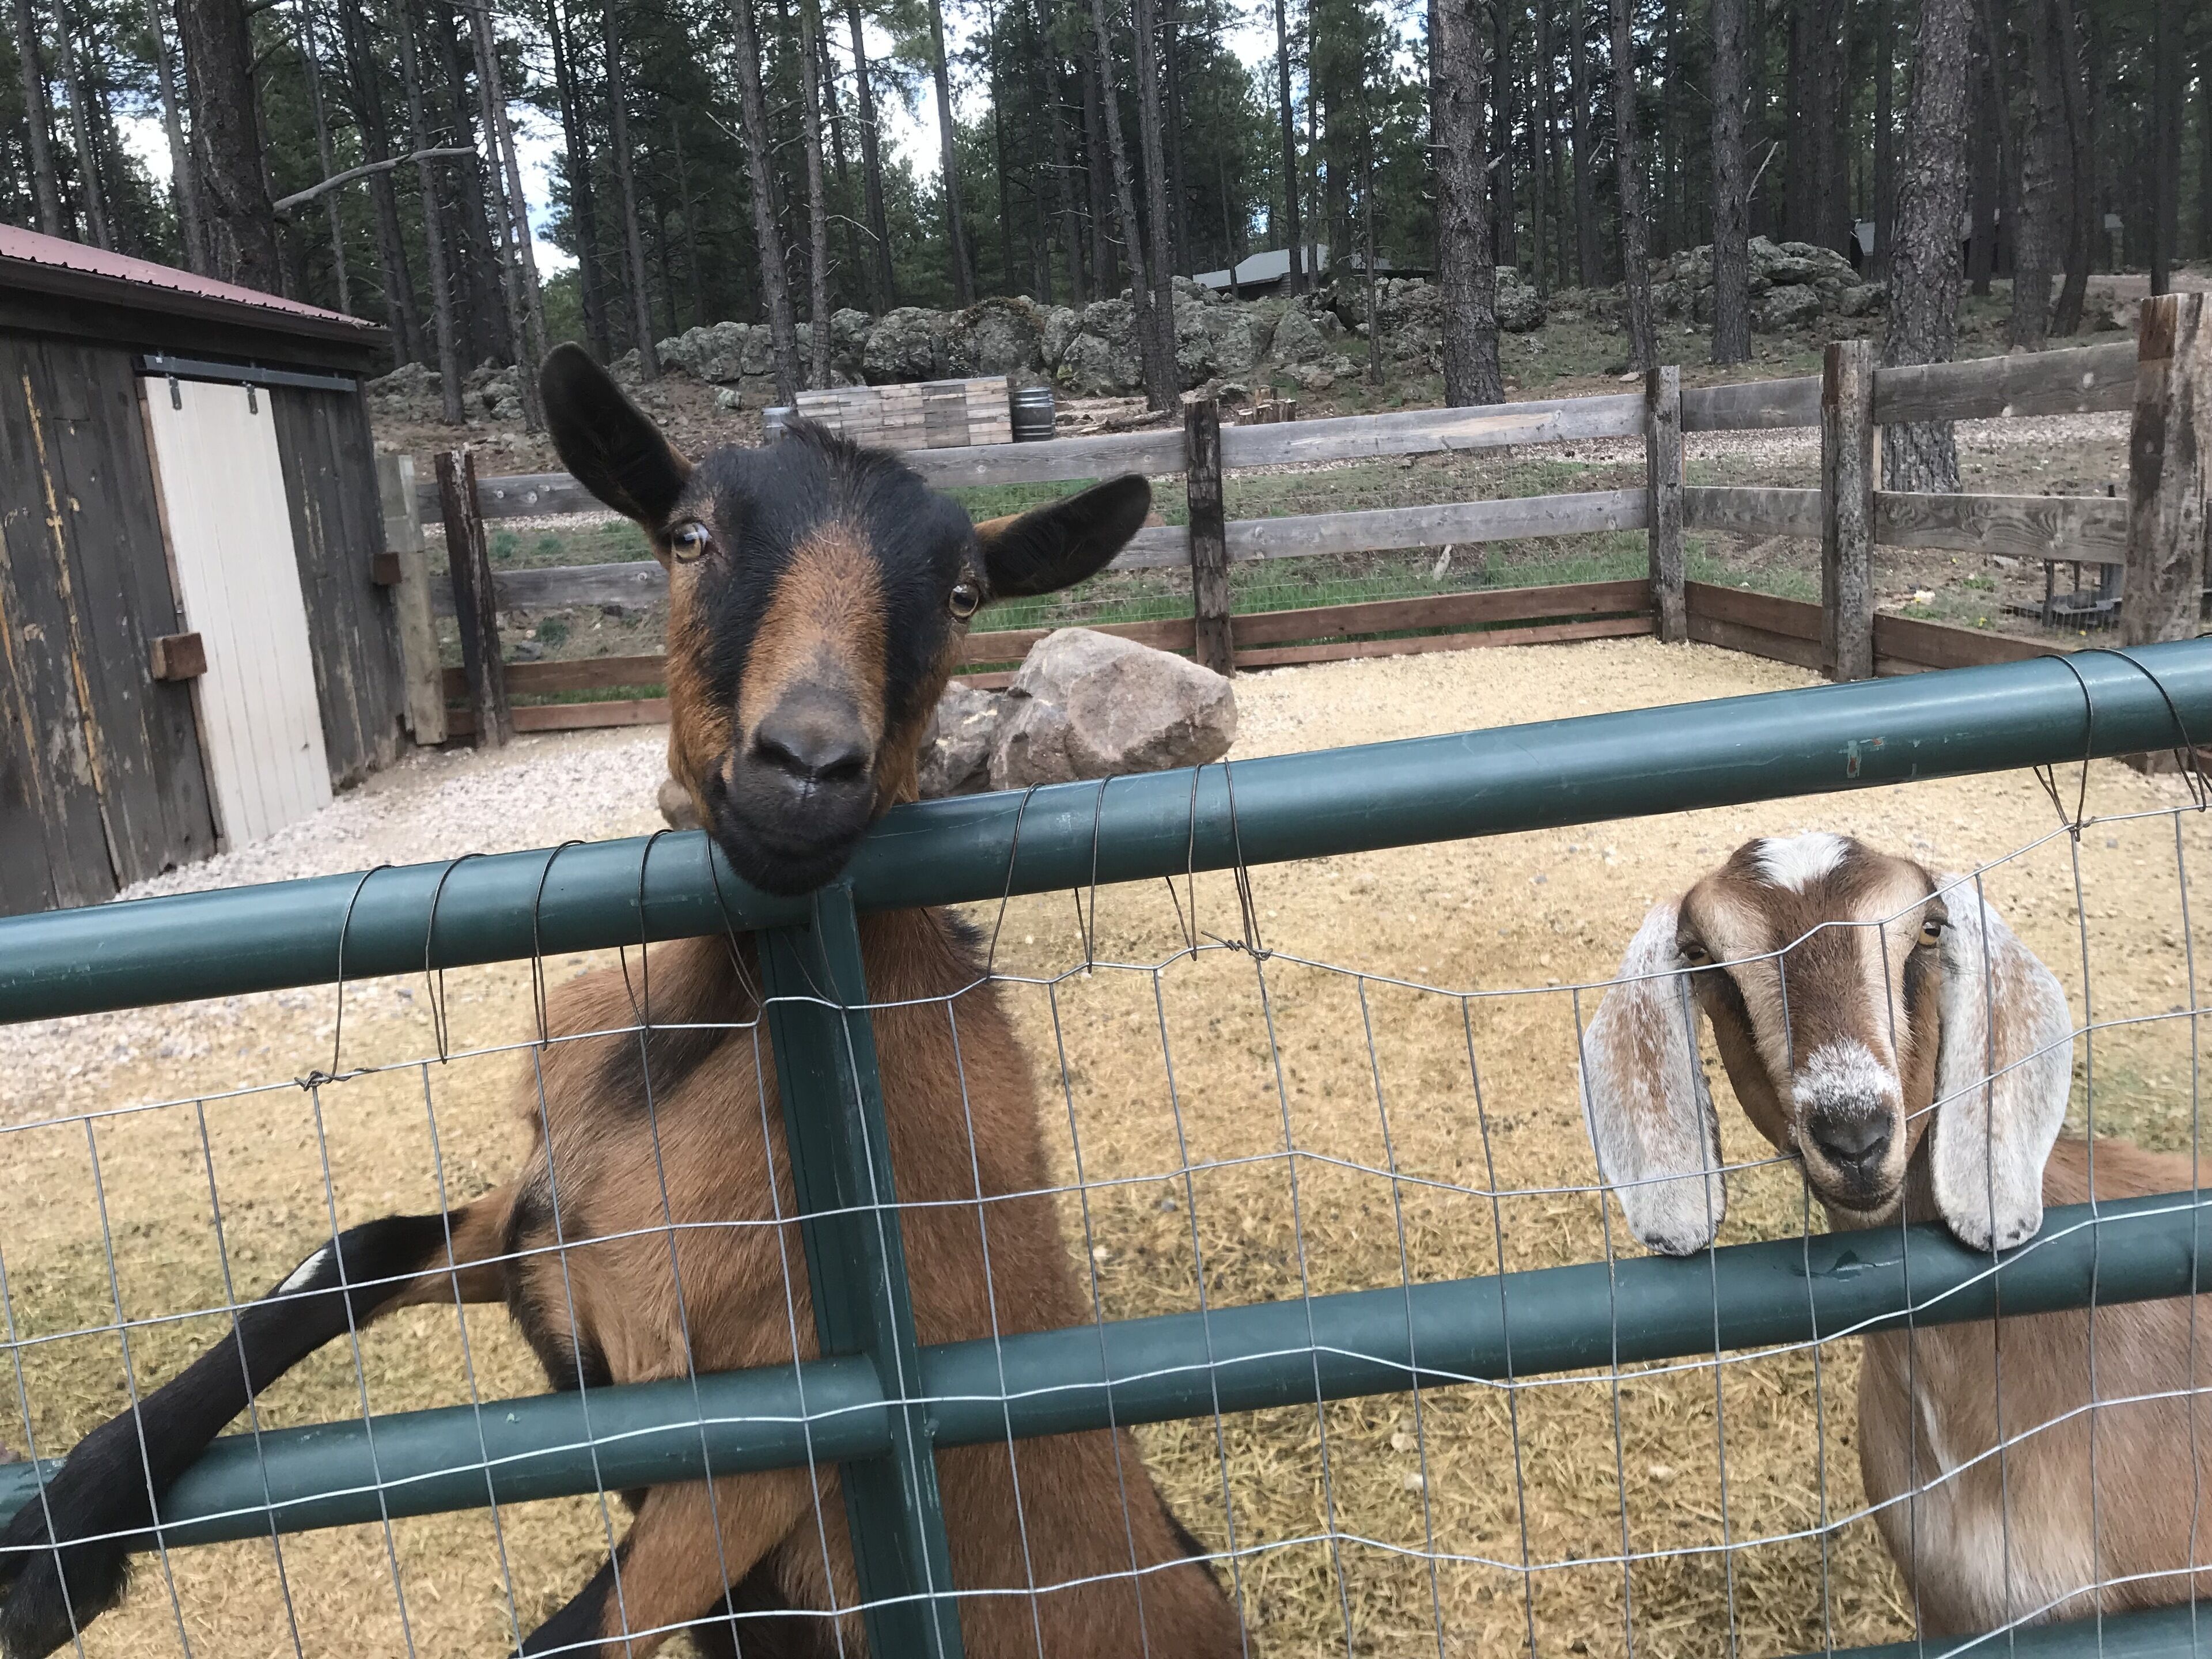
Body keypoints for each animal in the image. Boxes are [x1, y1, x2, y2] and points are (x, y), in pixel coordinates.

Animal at [0, 346, 1248, 1659]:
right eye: (690, 536)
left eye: (964, 594)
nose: (807, 770)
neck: (683, 1056)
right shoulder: (543, 1249)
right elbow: (347, 1255)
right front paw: (59, 1540)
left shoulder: (768, 1436)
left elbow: (573, 1636)